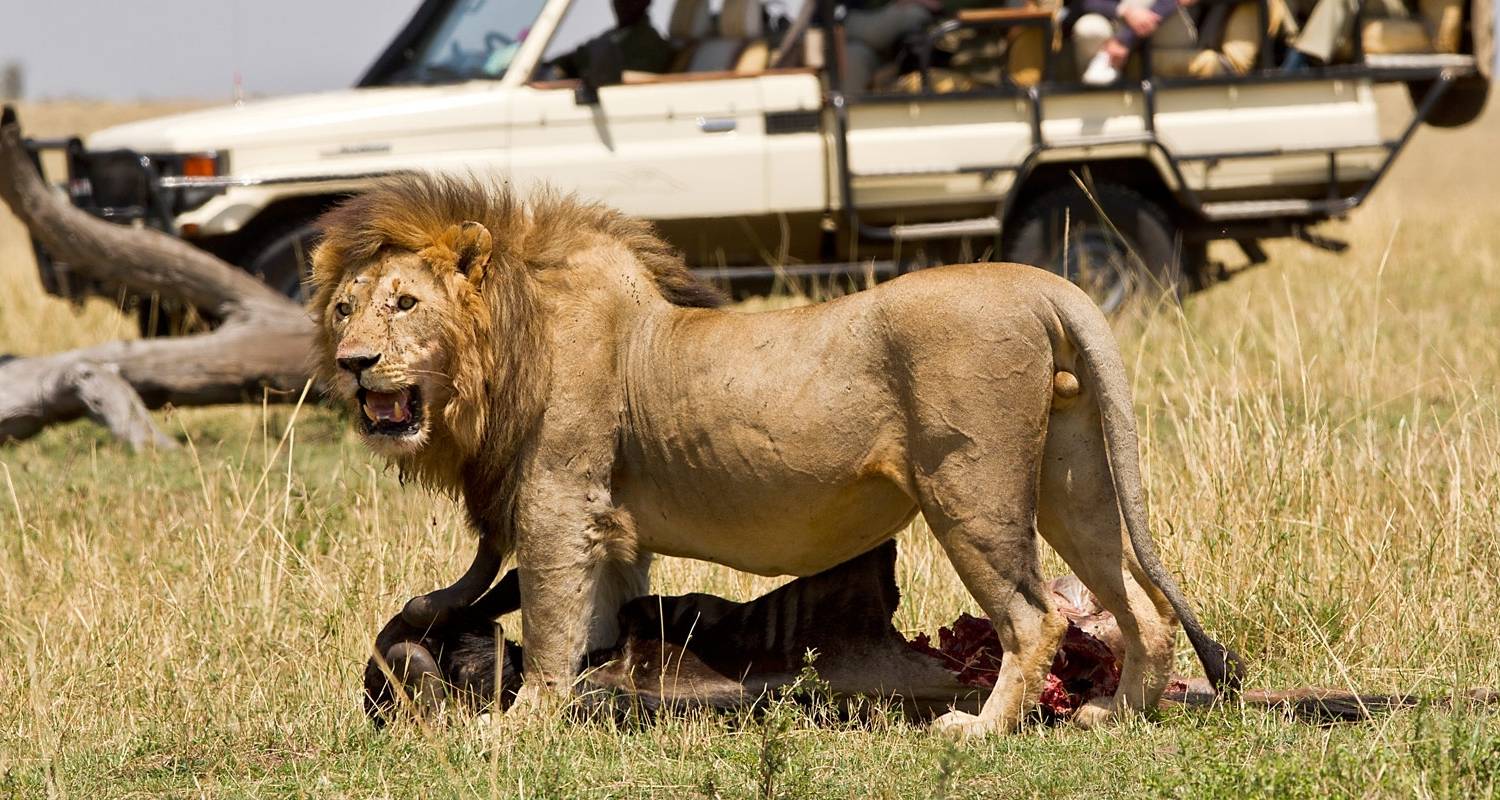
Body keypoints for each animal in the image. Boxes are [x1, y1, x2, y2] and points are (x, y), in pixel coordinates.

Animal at [307, 176, 1242, 735]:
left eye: (404, 303)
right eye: (345, 308)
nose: (354, 364)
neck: (502, 349)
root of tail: (1042, 283)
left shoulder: (556, 504)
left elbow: (546, 625)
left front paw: (519, 722)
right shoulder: (607, 529)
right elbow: (598, 621)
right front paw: (601, 691)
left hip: (970, 491)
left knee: (1036, 615)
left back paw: (983, 729)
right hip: (1071, 485)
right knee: (1142, 608)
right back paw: (1118, 712)